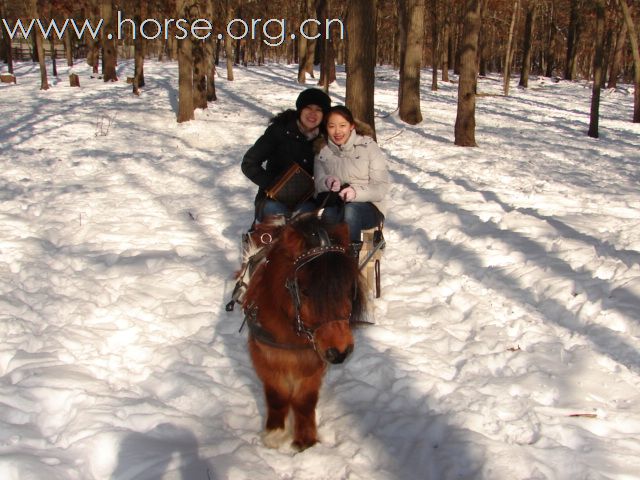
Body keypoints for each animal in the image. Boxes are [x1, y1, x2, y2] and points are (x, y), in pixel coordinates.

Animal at [242, 214, 368, 450]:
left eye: (349, 288)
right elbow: (277, 395)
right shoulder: (264, 356)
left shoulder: (314, 358)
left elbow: (305, 400)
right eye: (305, 290)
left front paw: (306, 441)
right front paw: (275, 433)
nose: (341, 351)